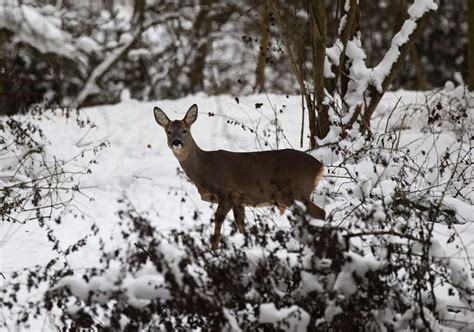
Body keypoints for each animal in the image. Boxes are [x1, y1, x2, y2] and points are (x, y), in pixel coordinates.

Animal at [154, 104, 324, 249]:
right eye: (168, 131)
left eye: (184, 130)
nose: (176, 142)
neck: (204, 168)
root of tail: (320, 166)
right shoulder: (239, 198)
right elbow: (241, 224)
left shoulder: (226, 192)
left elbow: (218, 220)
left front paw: (214, 250)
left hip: (296, 192)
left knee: (320, 212)